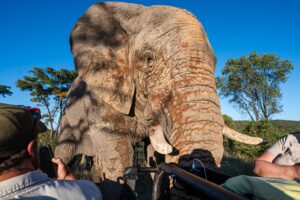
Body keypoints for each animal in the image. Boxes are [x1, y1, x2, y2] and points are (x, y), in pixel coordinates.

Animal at [54, 1, 262, 185]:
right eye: (148, 59)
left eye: (215, 62)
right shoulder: (102, 98)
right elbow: (119, 161)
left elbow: (154, 156)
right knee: (63, 155)